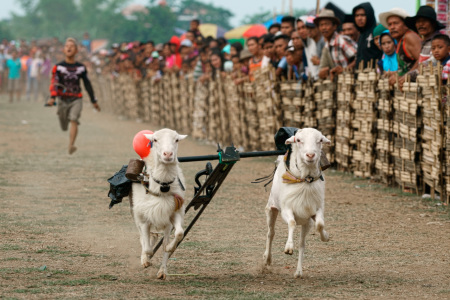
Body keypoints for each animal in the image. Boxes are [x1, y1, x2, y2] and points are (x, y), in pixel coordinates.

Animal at [129, 127, 187, 278]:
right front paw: (146, 260)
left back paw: (162, 272)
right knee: (144, 238)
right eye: (154, 140)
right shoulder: (144, 217)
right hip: (137, 214)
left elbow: (179, 234)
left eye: (177, 140)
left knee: (161, 240)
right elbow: (147, 247)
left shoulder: (173, 212)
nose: (168, 154)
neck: (162, 185)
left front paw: (169, 247)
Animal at [264, 127, 330, 278]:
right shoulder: (287, 209)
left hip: (306, 223)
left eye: (320, 140)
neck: (306, 179)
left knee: (302, 244)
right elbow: (292, 222)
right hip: (272, 209)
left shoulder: (315, 210)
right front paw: (288, 248)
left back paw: (298, 272)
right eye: (298, 140)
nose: (310, 155)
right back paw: (267, 259)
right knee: (271, 233)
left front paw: (325, 237)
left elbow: (320, 224)